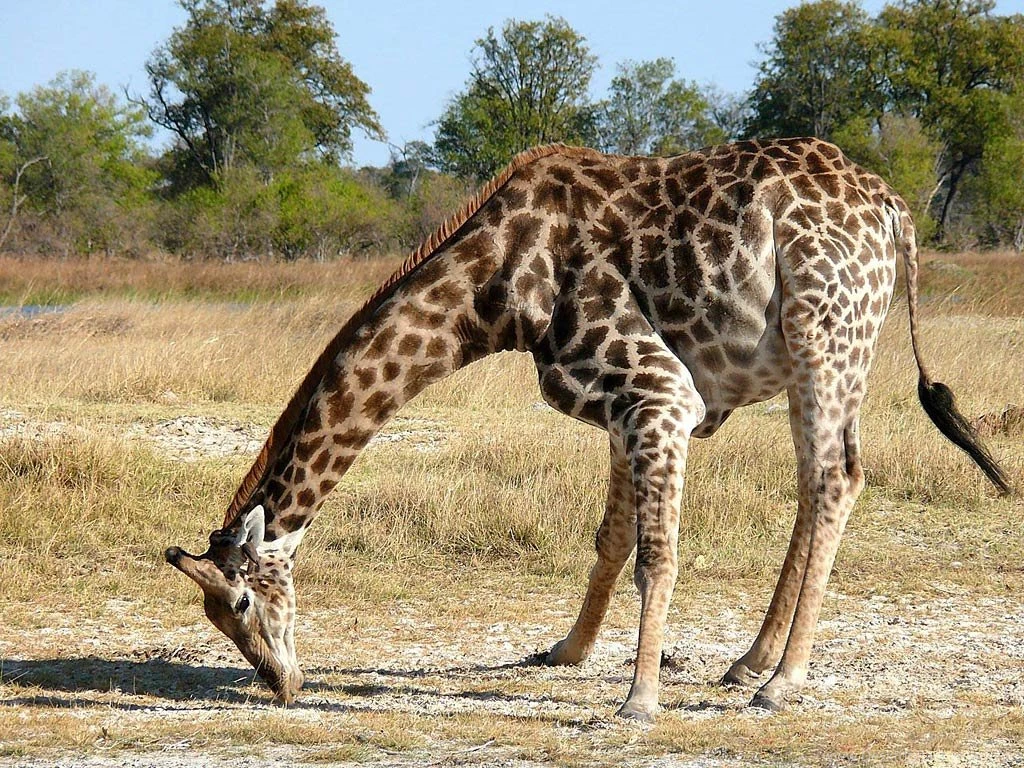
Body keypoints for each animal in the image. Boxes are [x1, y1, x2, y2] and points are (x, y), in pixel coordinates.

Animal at [165, 137, 1011, 721]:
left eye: (239, 604)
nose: (281, 685)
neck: (496, 287)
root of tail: (894, 211)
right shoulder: (616, 404)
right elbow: (611, 537)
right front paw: (566, 651)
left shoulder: (660, 391)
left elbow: (656, 556)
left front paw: (638, 702)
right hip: (841, 352)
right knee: (821, 482)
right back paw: (750, 663)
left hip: (823, 332)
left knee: (834, 479)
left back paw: (781, 683)